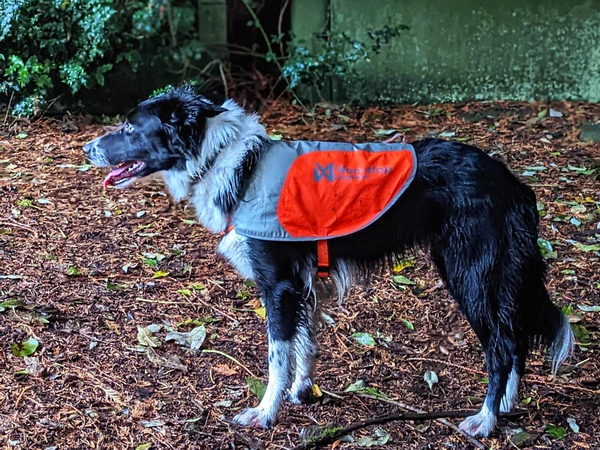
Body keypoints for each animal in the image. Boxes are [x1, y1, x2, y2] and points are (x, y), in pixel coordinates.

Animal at [82, 86, 576, 438]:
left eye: (130, 127)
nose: (87, 149)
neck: (230, 163)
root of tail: (509, 179)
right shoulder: (302, 284)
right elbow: (305, 343)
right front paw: (302, 391)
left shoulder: (278, 285)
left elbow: (277, 353)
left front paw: (265, 412)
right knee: (515, 339)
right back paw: (507, 406)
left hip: (470, 274)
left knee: (502, 346)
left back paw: (486, 420)